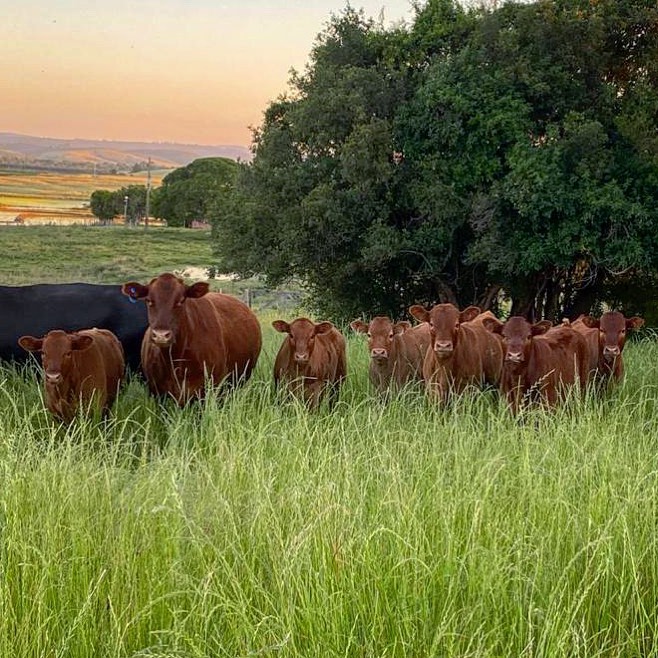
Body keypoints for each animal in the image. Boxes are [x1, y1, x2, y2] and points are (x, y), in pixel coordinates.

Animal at [121, 270, 260, 402]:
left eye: (181, 301)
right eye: (149, 300)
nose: (161, 335)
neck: (175, 361)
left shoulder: (209, 389)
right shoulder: (157, 392)